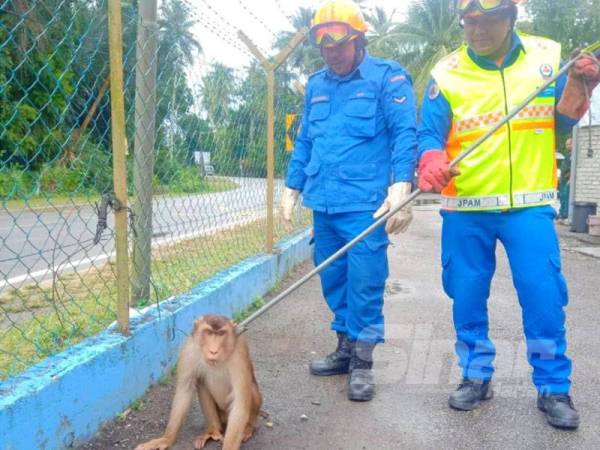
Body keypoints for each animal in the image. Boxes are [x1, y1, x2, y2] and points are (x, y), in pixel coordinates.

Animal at [136, 314, 262, 450]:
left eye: (221, 334)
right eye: (209, 333)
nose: (213, 351)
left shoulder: (240, 353)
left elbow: (240, 401)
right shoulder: (188, 350)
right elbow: (184, 391)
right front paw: (166, 439)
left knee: (251, 392)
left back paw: (248, 428)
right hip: (221, 415)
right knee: (201, 384)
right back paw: (212, 430)